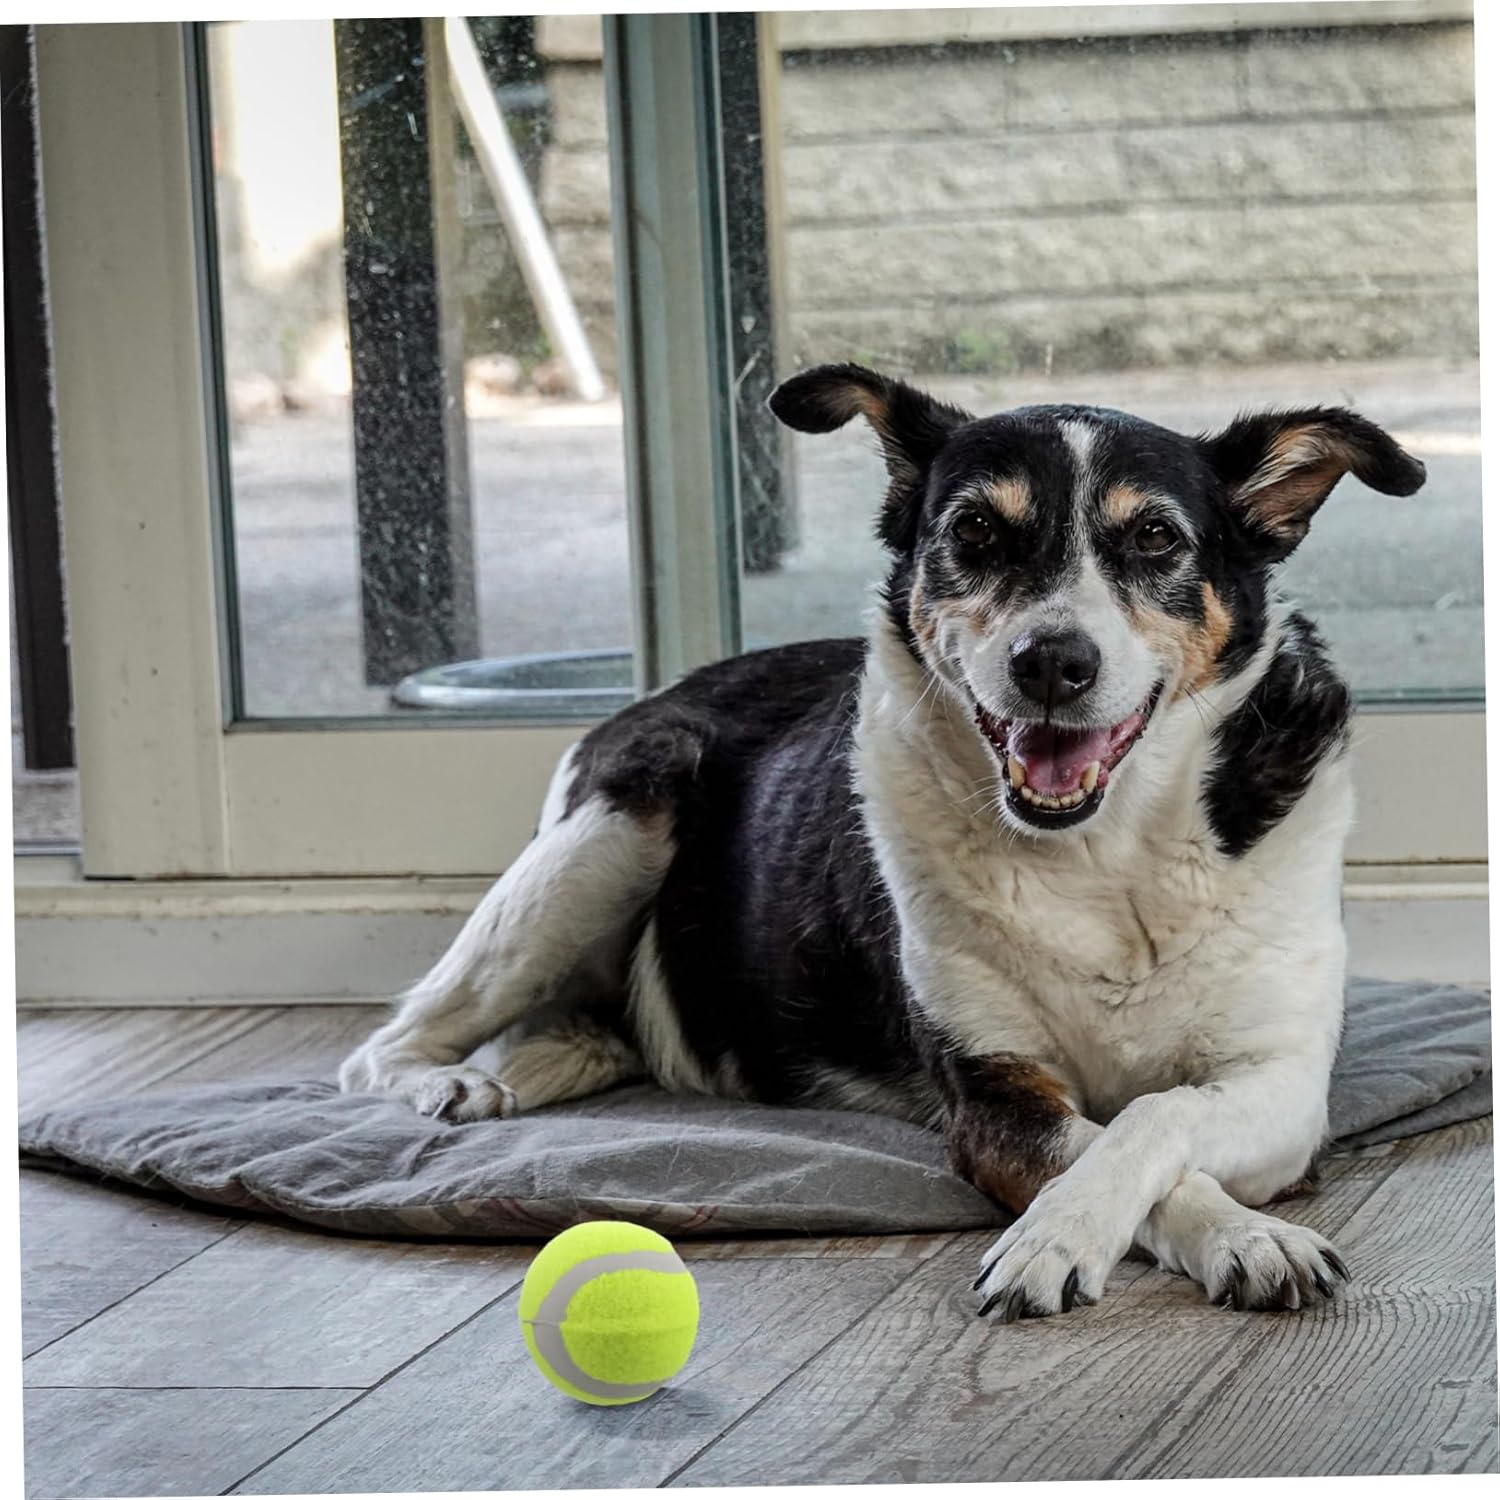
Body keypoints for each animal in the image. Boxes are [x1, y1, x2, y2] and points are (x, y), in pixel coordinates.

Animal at [341, 362, 1425, 1319]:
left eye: (1157, 536)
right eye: (975, 528)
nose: (1052, 662)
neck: (1101, 853)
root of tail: (657, 696)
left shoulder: (1286, 1082)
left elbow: (1160, 1113)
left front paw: (1236, 1236)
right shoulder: (994, 1093)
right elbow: (1106, 1146)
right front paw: (1077, 1237)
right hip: (609, 830)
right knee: (381, 1047)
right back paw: (450, 1082)